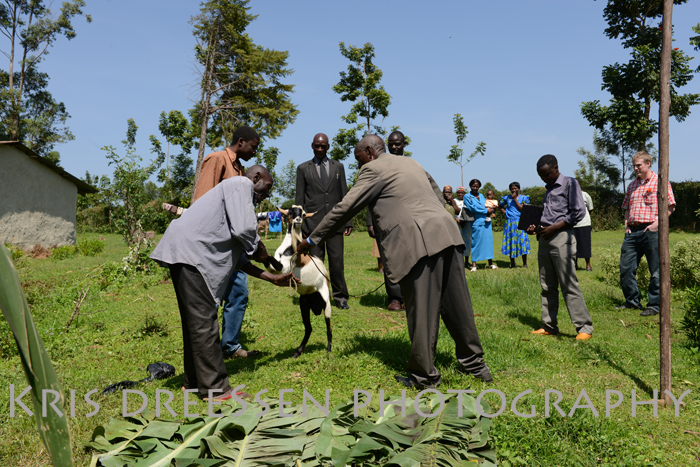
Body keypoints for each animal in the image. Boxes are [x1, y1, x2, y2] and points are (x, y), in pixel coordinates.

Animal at [269, 206, 332, 358]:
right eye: (290, 212)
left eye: (303, 214)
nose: (298, 220)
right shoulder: (276, 269)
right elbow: (269, 263)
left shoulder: (284, 267)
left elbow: (271, 261)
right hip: (304, 304)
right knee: (309, 328)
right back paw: (298, 352)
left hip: (327, 304)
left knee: (329, 328)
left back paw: (329, 351)